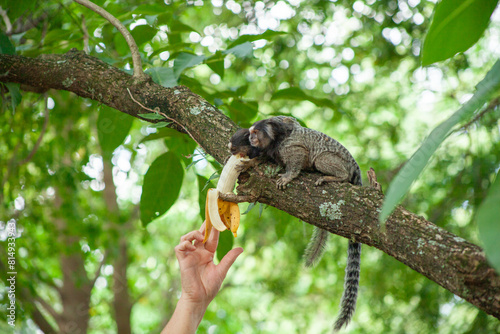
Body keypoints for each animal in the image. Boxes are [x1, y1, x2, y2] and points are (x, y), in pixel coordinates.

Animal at [248, 116, 362, 330]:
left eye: (255, 133)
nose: (250, 139)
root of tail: (354, 165)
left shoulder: (289, 147)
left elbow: (299, 155)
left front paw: (288, 176)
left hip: (337, 161)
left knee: (322, 159)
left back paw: (335, 177)